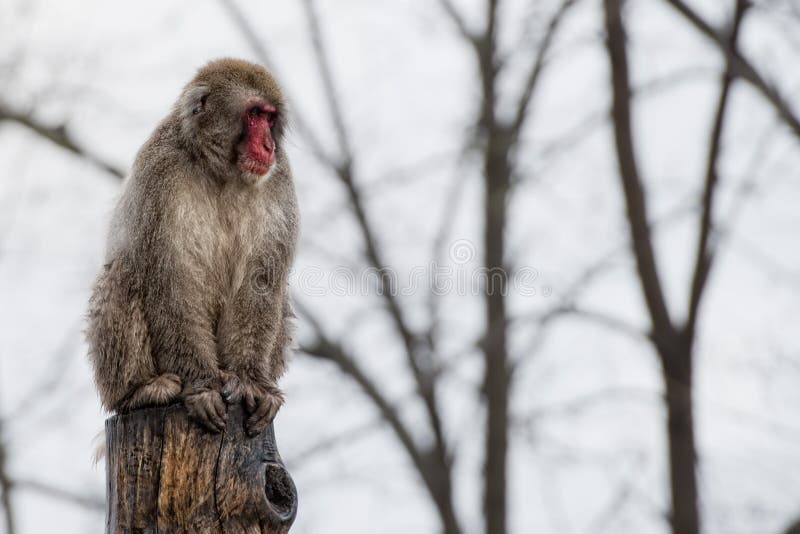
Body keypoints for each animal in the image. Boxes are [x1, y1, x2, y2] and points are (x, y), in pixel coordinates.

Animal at [86, 58, 296, 438]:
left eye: (270, 118)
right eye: (255, 114)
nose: (268, 146)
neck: (221, 171)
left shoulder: (279, 178)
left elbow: (261, 280)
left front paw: (250, 382)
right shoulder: (158, 173)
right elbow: (170, 278)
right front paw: (200, 388)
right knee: (125, 272)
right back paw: (140, 391)